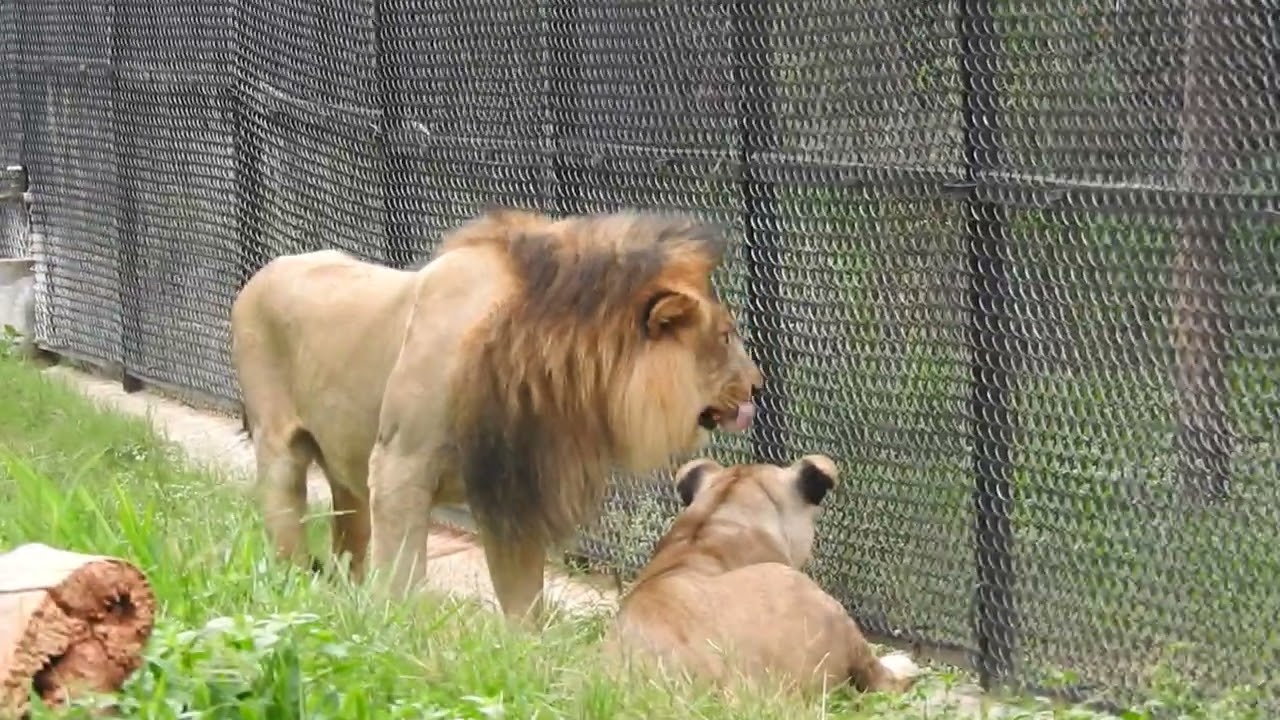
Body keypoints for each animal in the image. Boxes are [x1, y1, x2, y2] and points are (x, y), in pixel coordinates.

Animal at [229, 208, 763, 622]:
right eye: (724, 336)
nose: (758, 384)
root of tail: (263, 270)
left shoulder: (516, 482)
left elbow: (523, 598)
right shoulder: (401, 463)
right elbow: (402, 571)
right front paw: (394, 631)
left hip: (348, 473)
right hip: (280, 450)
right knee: (286, 523)